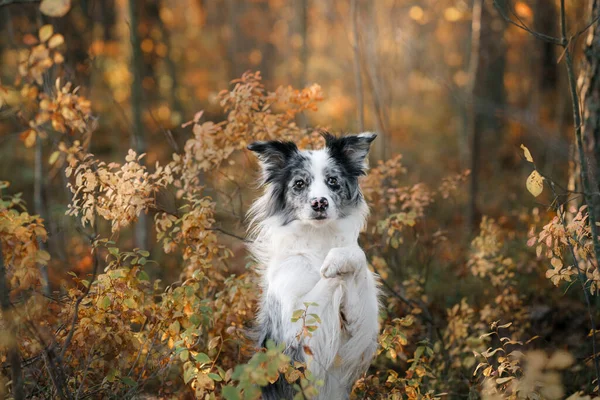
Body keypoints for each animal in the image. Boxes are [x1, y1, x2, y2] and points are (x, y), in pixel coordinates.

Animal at [247, 133, 380, 398]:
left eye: (332, 181)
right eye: (299, 183)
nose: (320, 202)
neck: (318, 239)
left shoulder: (358, 334)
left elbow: (355, 255)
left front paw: (337, 260)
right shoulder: (294, 334)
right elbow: (325, 283)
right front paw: (330, 268)